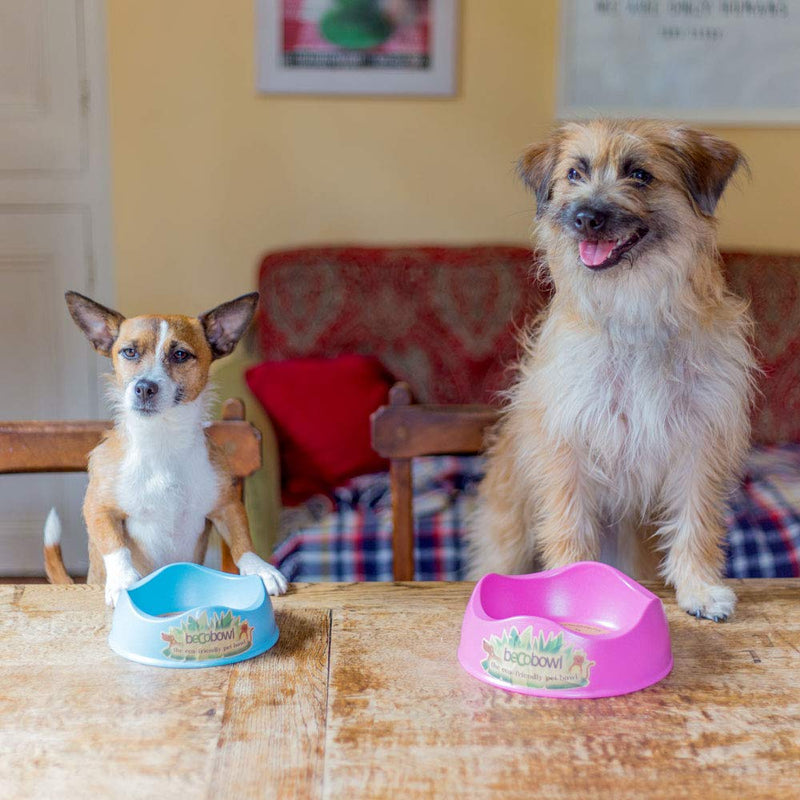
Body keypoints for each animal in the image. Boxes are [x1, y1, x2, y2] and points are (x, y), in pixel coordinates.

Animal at [43, 292, 288, 608]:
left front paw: (259, 569)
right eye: (129, 352)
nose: (144, 387)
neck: (161, 439)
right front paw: (123, 580)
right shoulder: (98, 508)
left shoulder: (228, 505)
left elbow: (242, 539)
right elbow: (115, 546)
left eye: (180, 355)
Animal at [466, 119, 752, 620]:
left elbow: (696, 520)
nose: (585, 217)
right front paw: (569, 585)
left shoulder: (701, 442)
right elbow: (569, 524)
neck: (633, 305)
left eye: (639, 175)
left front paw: (699, 587)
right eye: (574, 174)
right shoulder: (569, 446)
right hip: (509, 539)